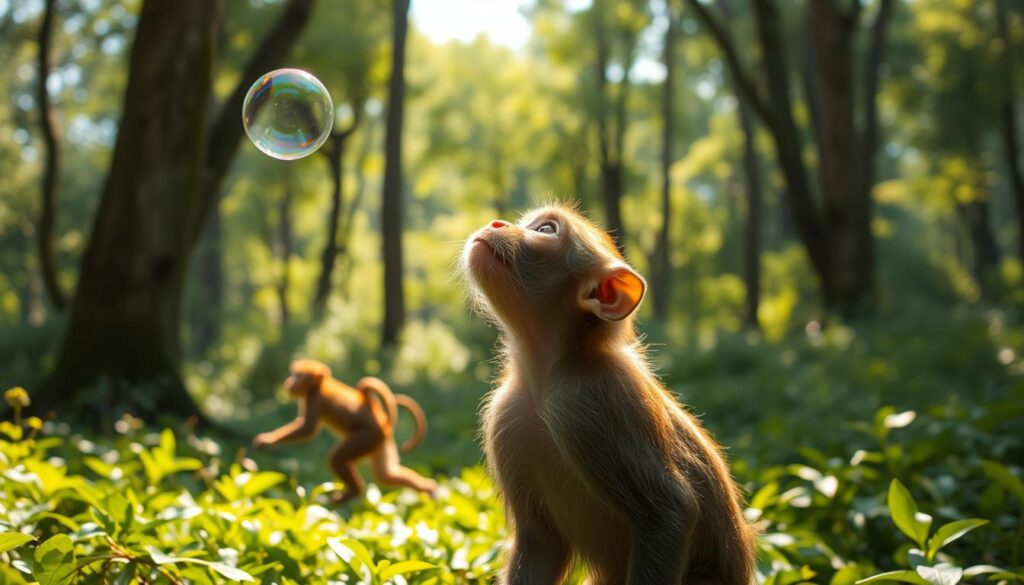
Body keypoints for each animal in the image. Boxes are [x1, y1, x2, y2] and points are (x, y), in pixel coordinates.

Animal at [252, 358, 438, 504]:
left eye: (298, 375)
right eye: (293, 374)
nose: (289, 381)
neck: (320, 385)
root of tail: (377, 414)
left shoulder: (315, 399)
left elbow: (308, 429)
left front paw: (268, 440)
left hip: (367, 437)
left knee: (337, 458)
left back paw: (354, 492)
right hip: (380, 441)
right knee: (385, 474)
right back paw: (429, 488)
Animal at [460, 204, 756, 585]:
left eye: (546, 229)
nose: (497, 222)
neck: (547, 378)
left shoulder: (589, 407)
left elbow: (669, 512)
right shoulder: (506, 415)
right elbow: (541, 543)